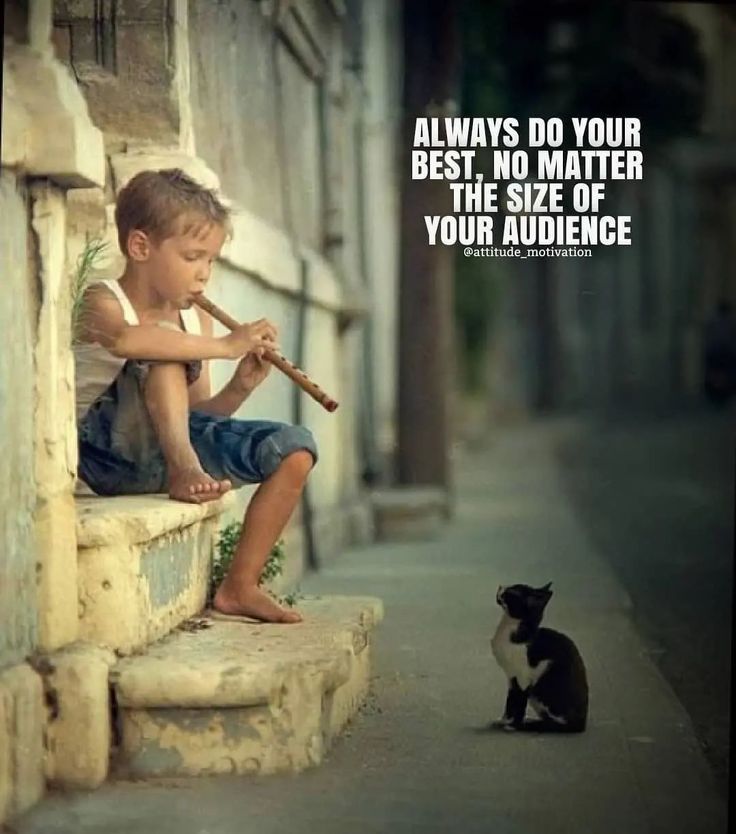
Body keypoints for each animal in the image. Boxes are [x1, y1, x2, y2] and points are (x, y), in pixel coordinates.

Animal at [492, 580, 588, 732]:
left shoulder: (523, 679)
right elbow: (509, 702)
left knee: (556, 723)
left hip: (542, 686)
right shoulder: (511, 677)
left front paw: (513, 725)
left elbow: (518, 704)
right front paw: (504, 720)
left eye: (511, 592)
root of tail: (581, 724)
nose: (501, 587)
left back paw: (531, 724)